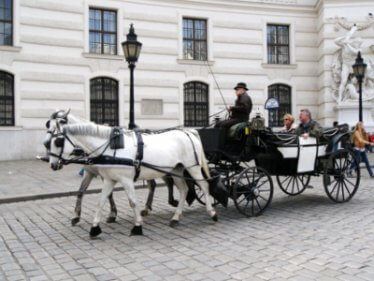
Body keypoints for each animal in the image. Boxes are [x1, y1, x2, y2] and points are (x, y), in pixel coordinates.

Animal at [45, 110, 218, 235]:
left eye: (58, 141)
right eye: (48, 127)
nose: (52, 164)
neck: (110, 146)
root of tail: (188, 132)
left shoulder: (126, 180)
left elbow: (132, 202)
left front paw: (137, 226)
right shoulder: (108, 179)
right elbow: (100, 201)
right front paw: (95, 227)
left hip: (192, 167)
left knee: (204, 186)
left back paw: (212, 213)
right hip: (176, 169)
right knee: (183, 190)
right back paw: (176, 217)